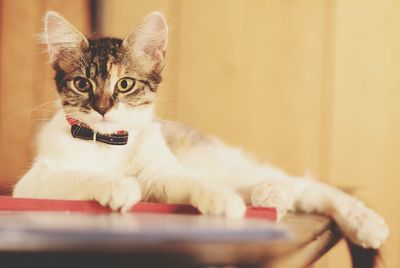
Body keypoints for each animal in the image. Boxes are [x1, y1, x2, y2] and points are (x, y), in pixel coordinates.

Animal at [13, 11, 388, 251]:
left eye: (124, 84)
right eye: (82, 84)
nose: (103, 109)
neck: (109, 144)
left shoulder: (162, 173)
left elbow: (192, 183)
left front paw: (221, 201)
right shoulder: (32, 184)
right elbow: (83, 176)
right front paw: (118, 186)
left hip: (216, 162)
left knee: (307, 185)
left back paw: (362, 222)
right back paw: (271, 197)